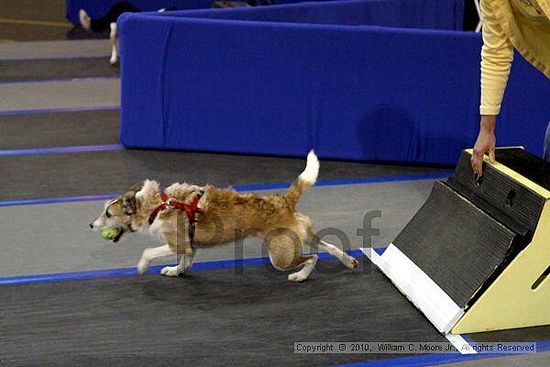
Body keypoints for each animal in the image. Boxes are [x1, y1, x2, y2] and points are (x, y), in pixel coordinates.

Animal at [90, 152, 358, 282]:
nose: (91, 225)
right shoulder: (190, 247)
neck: (157, 205)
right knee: (329, 246)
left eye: (108, 213)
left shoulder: (177, 243)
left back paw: (300, 276)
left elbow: (149, 251)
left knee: (313, 257)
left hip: (280, 256)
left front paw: (142, 265)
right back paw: (348, 261)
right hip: (302, 236)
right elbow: (185, 262)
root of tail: (283, 200)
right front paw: (175, 271)